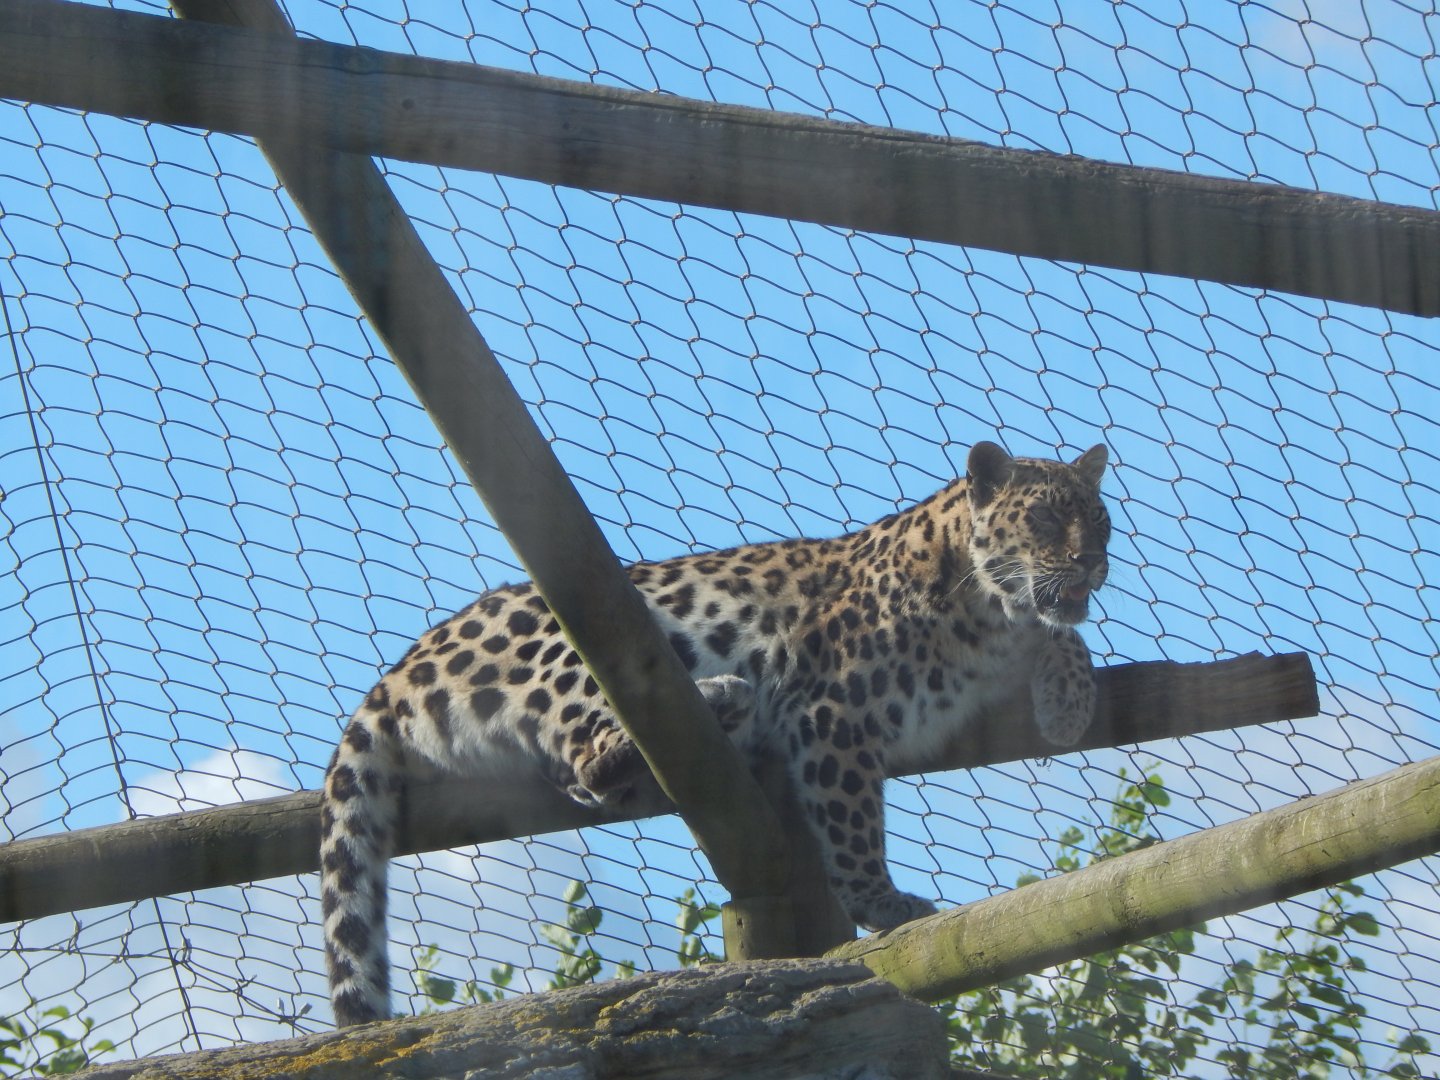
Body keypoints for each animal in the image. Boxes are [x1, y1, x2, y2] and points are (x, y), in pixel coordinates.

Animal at [320, 439, 1111, 1026]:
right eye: (1045, 521)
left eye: (1099, 523)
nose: (1092, 562)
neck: (989, 617)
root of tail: (402, 666)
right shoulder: (831, 714)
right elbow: (852, 824)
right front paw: (884, 904)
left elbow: (1065, 633)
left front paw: (1069, 701)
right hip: (574, 633)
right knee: (590, 738)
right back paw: (724, 696)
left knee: (579, 775)